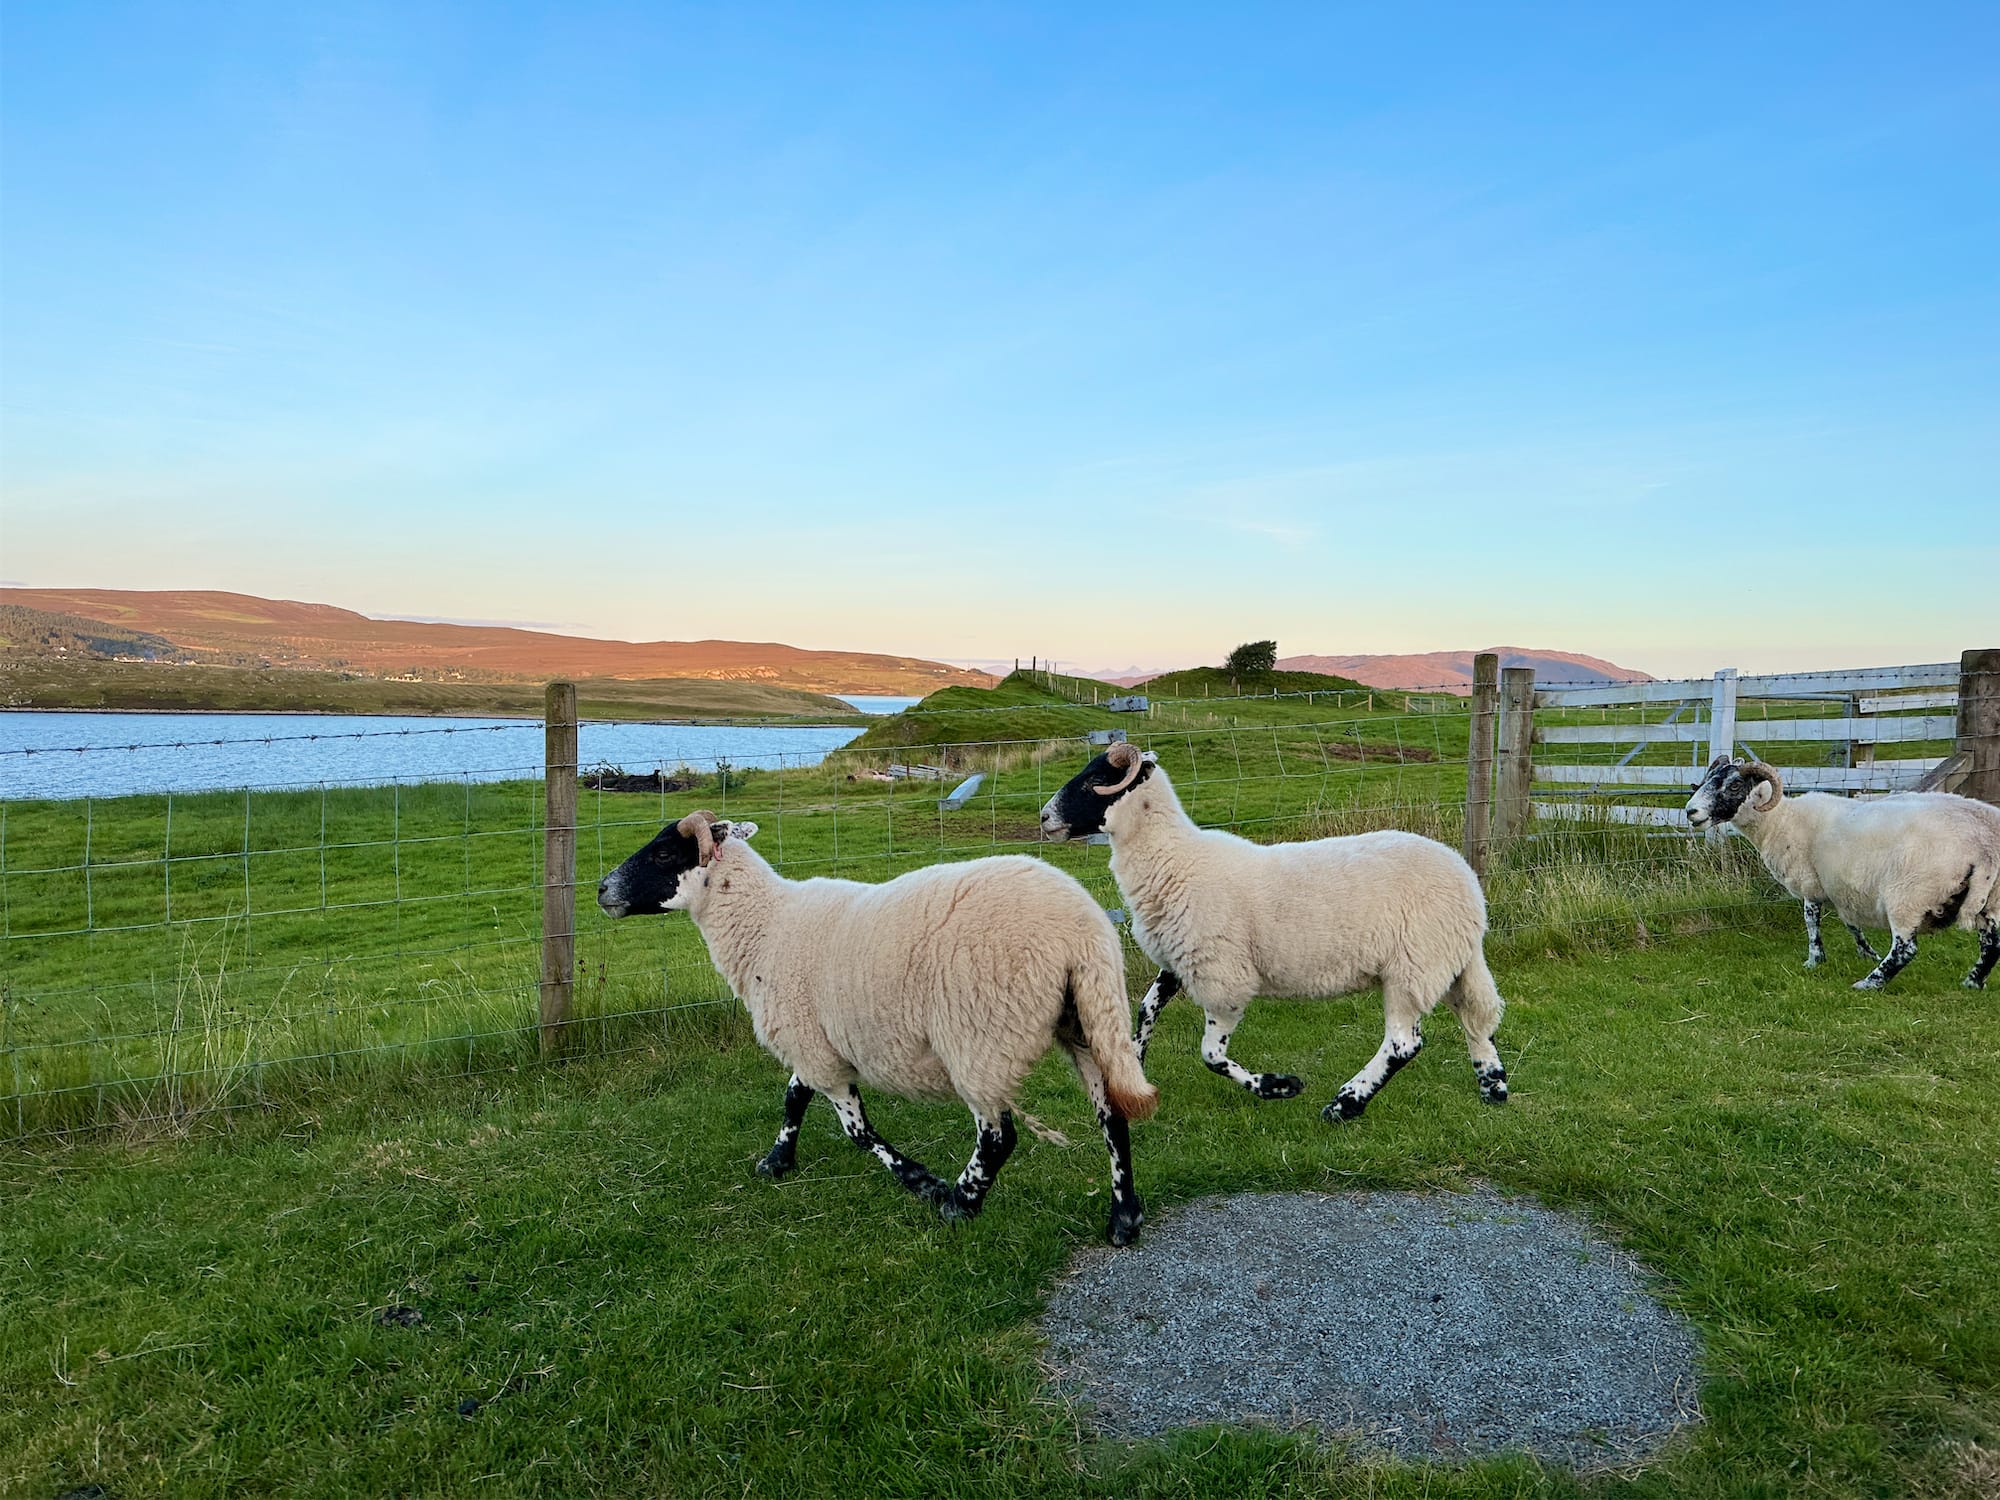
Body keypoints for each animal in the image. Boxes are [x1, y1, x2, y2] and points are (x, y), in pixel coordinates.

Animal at [592, 812, 1160, 1248]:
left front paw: (925, 1184)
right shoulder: (812, 1039)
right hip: (1087, 1017)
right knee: (1112, 1114)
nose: (601, 889)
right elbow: (793, 1098)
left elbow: (857, 1131)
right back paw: (1123, 1219)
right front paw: (776, 1161)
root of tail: (1080, 932)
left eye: (665, 854)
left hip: (979, 1035)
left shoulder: (812, 1044)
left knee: (998, 1137)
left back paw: (960, 1203)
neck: (765, 926)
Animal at [1040, 748, 1504, 1120]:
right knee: (1475, 1018)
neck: (1176, 858)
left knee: (1403, 1044)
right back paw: (1493, 1084)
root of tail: (1469, 888)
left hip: (1413, 966)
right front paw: (1131, 1069)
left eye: (1095, 780)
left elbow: (1211, 1055)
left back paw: (1345, 1104)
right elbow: (1146, 1010)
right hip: (1443, 962)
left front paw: (1279, 1086)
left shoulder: (1223, 976)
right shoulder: (1179, 961)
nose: (1044, 817)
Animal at [1688, 756, 2000, 992]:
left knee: (1906, 949)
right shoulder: (1840, 888)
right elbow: (1851, 924)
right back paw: (1973, 982)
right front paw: (1866, 952)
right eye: (1708, 779)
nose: (1691, 812)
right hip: (1992, 898)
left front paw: (1814, 960)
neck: (1781, 821)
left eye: (1735, 785)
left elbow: (1812, 923)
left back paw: (1870, 983)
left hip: (1909, 895)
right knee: (1991, 942)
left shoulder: (1810, 884)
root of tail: (1983, 842)